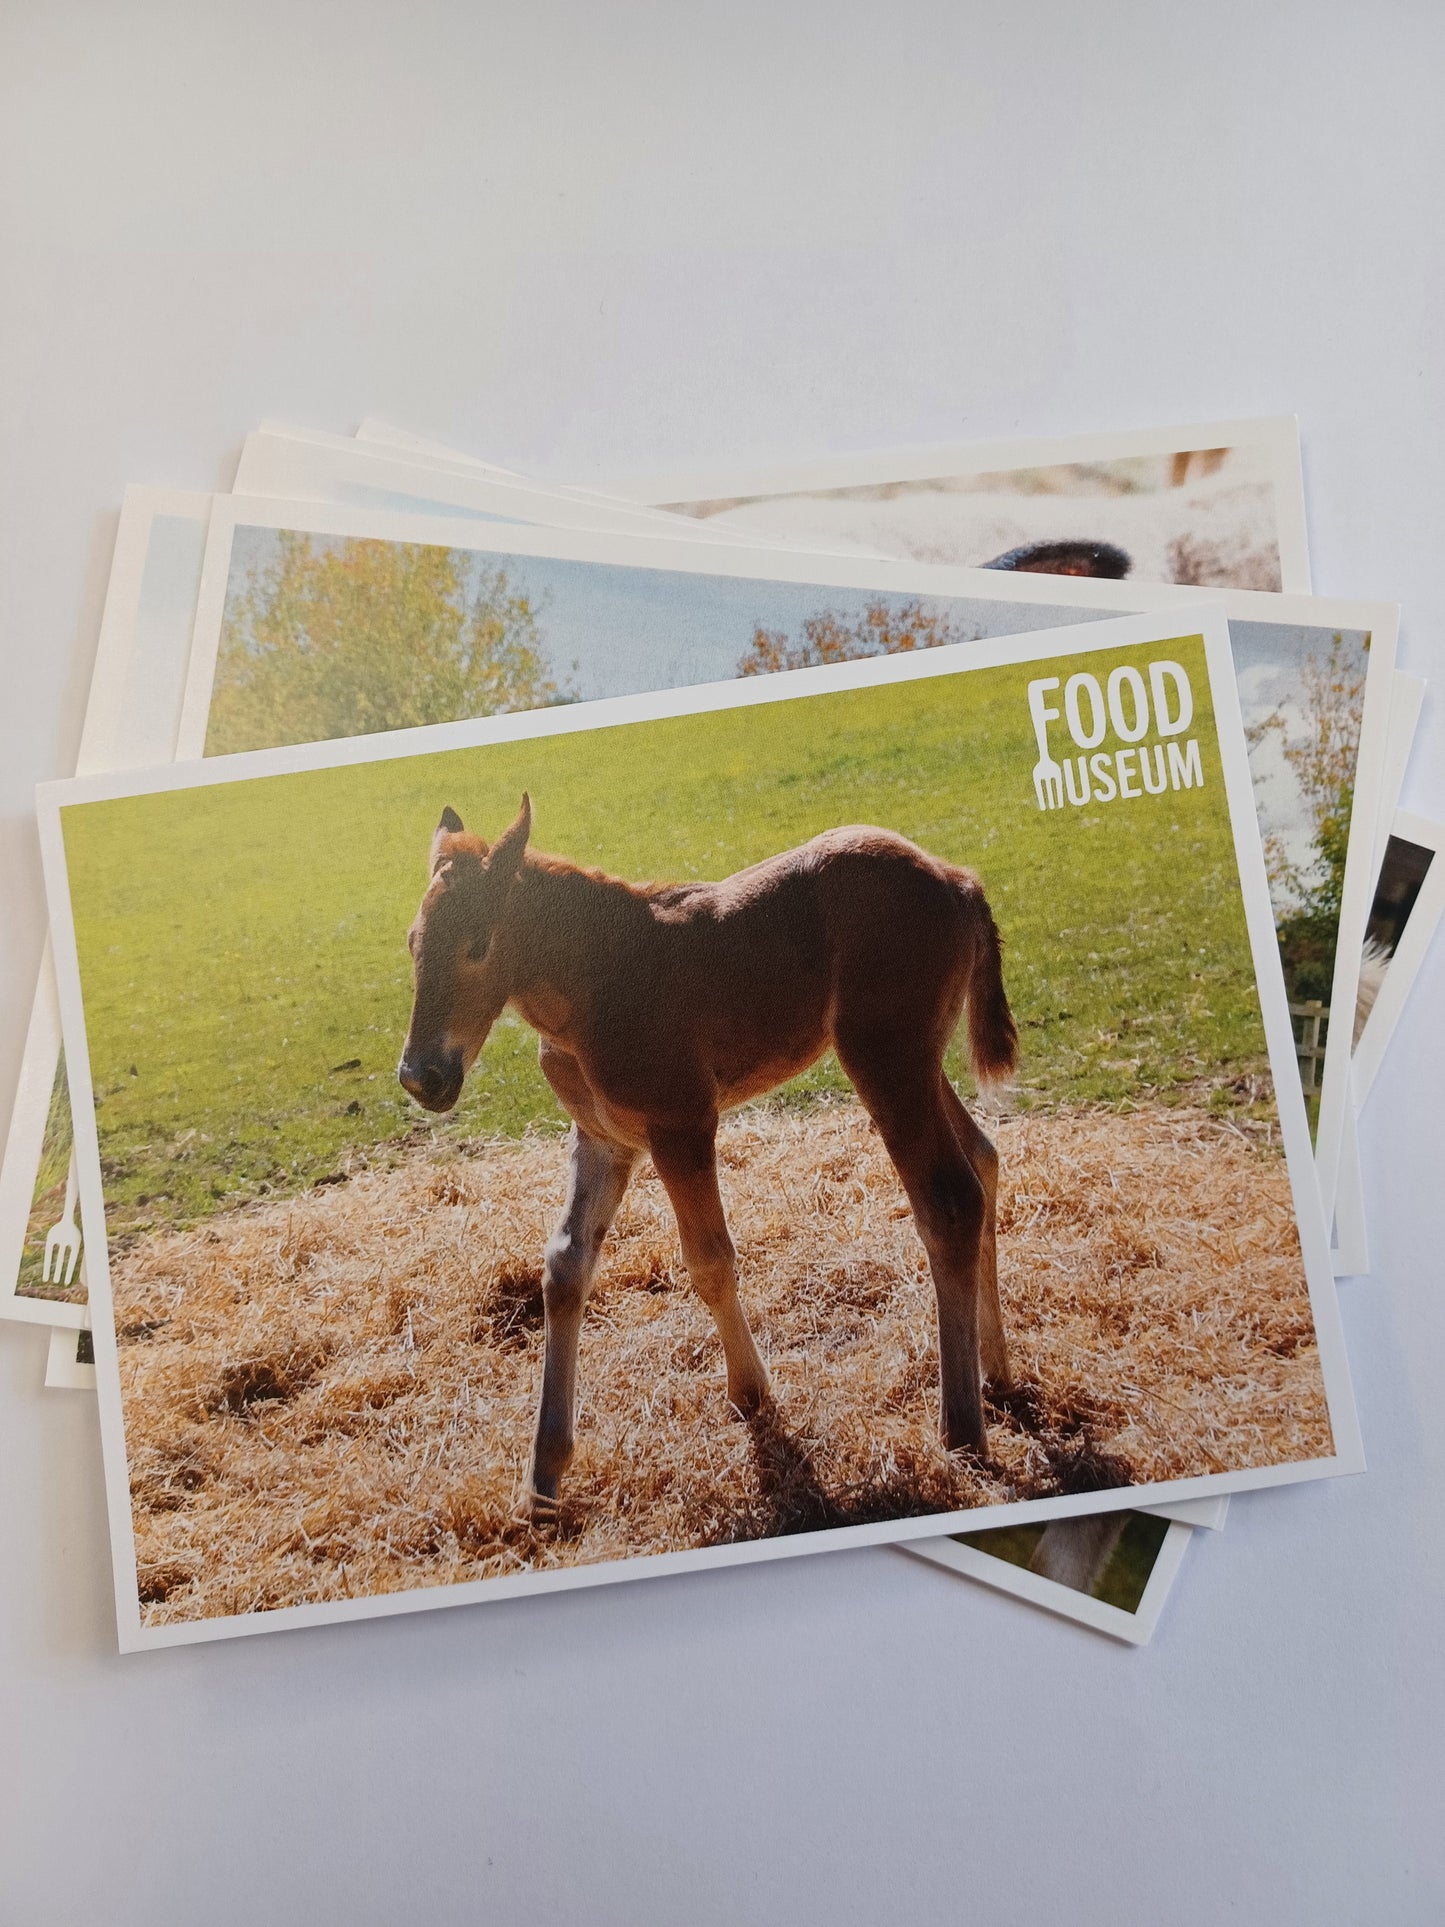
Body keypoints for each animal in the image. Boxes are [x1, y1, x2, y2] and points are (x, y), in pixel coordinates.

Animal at [402, 790, 1024, 1510]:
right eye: (412, 943)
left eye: (478, 945)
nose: (421, 1076)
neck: (590, 984)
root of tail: (956, 879)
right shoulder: (604, 1138)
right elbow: (565, 1265)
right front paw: (546, 1468)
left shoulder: (681, 1125)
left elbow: (708, 1260)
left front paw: (751, 1394)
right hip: (915, 1059)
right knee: (983, 1158)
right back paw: (997, 1370)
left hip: (885, 1058)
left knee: (948, 1199)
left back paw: (962, 1430)